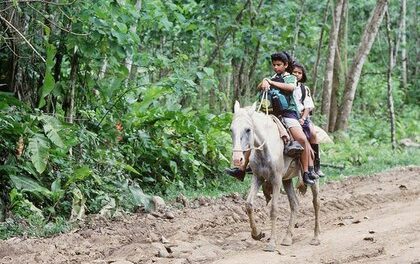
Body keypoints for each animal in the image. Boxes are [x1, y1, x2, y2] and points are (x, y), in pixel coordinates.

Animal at [230, 100, 322, 252]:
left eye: (248, 129)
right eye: (231, 130)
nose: (237, 159)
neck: (265, 147)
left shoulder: (276, 180)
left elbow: (273, 209)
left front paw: (271, 243)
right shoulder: (258, 177)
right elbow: (248, 204)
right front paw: (257, 234)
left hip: (312, 178)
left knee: (316, 202)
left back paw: (316, 237)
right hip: (287, 180)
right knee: (294, 204)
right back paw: (287, 238)